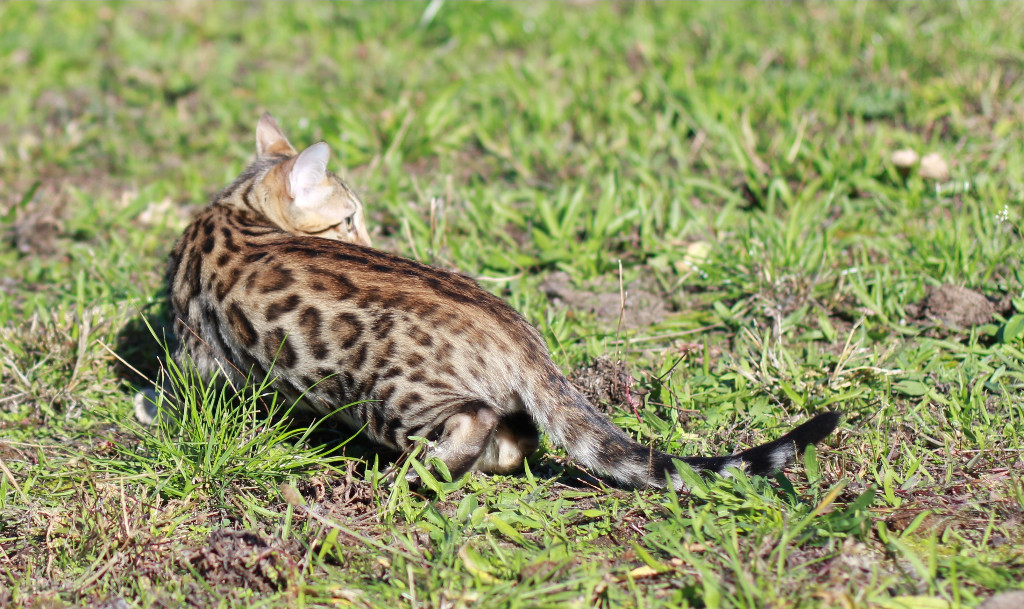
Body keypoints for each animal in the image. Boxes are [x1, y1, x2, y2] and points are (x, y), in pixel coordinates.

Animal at [138, 114, 839, 491]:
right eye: (349, 219)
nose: (370, 237)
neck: (232, 211)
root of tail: (519, 335)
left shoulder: (201, 357)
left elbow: (181, 392)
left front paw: (150, 413)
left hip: (387, 396)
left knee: (475, 422)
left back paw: (413, 474)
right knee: (518, 435)